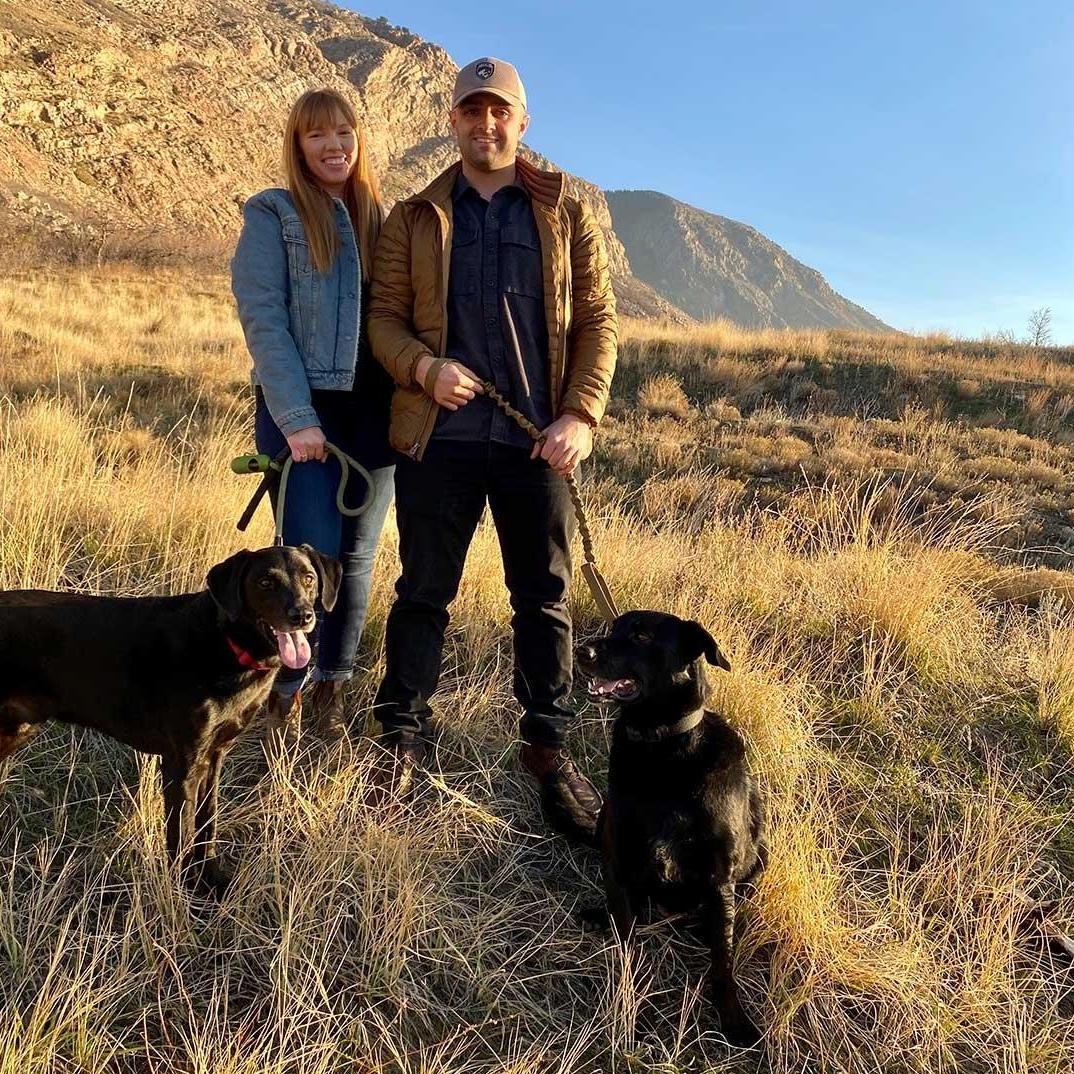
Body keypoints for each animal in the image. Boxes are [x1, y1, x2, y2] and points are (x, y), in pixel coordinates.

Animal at [0, 545, 339, 897]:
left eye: (309, 578)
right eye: (265, 582)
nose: (302, 616)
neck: (223, 642)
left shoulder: (214, 757)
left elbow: (208, 820)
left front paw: (212, 878)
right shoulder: (182, 764)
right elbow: (180, 836)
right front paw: (181, 894)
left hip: (14, 729)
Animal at [579, 614, 764, 1048]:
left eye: (642, 635)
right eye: (613, 628)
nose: (581, 652)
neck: (663, 750)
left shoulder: (719, 879)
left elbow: (723, 963)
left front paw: (734, 1021)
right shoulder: (618, 864)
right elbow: (627, 943)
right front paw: (628, 1006)